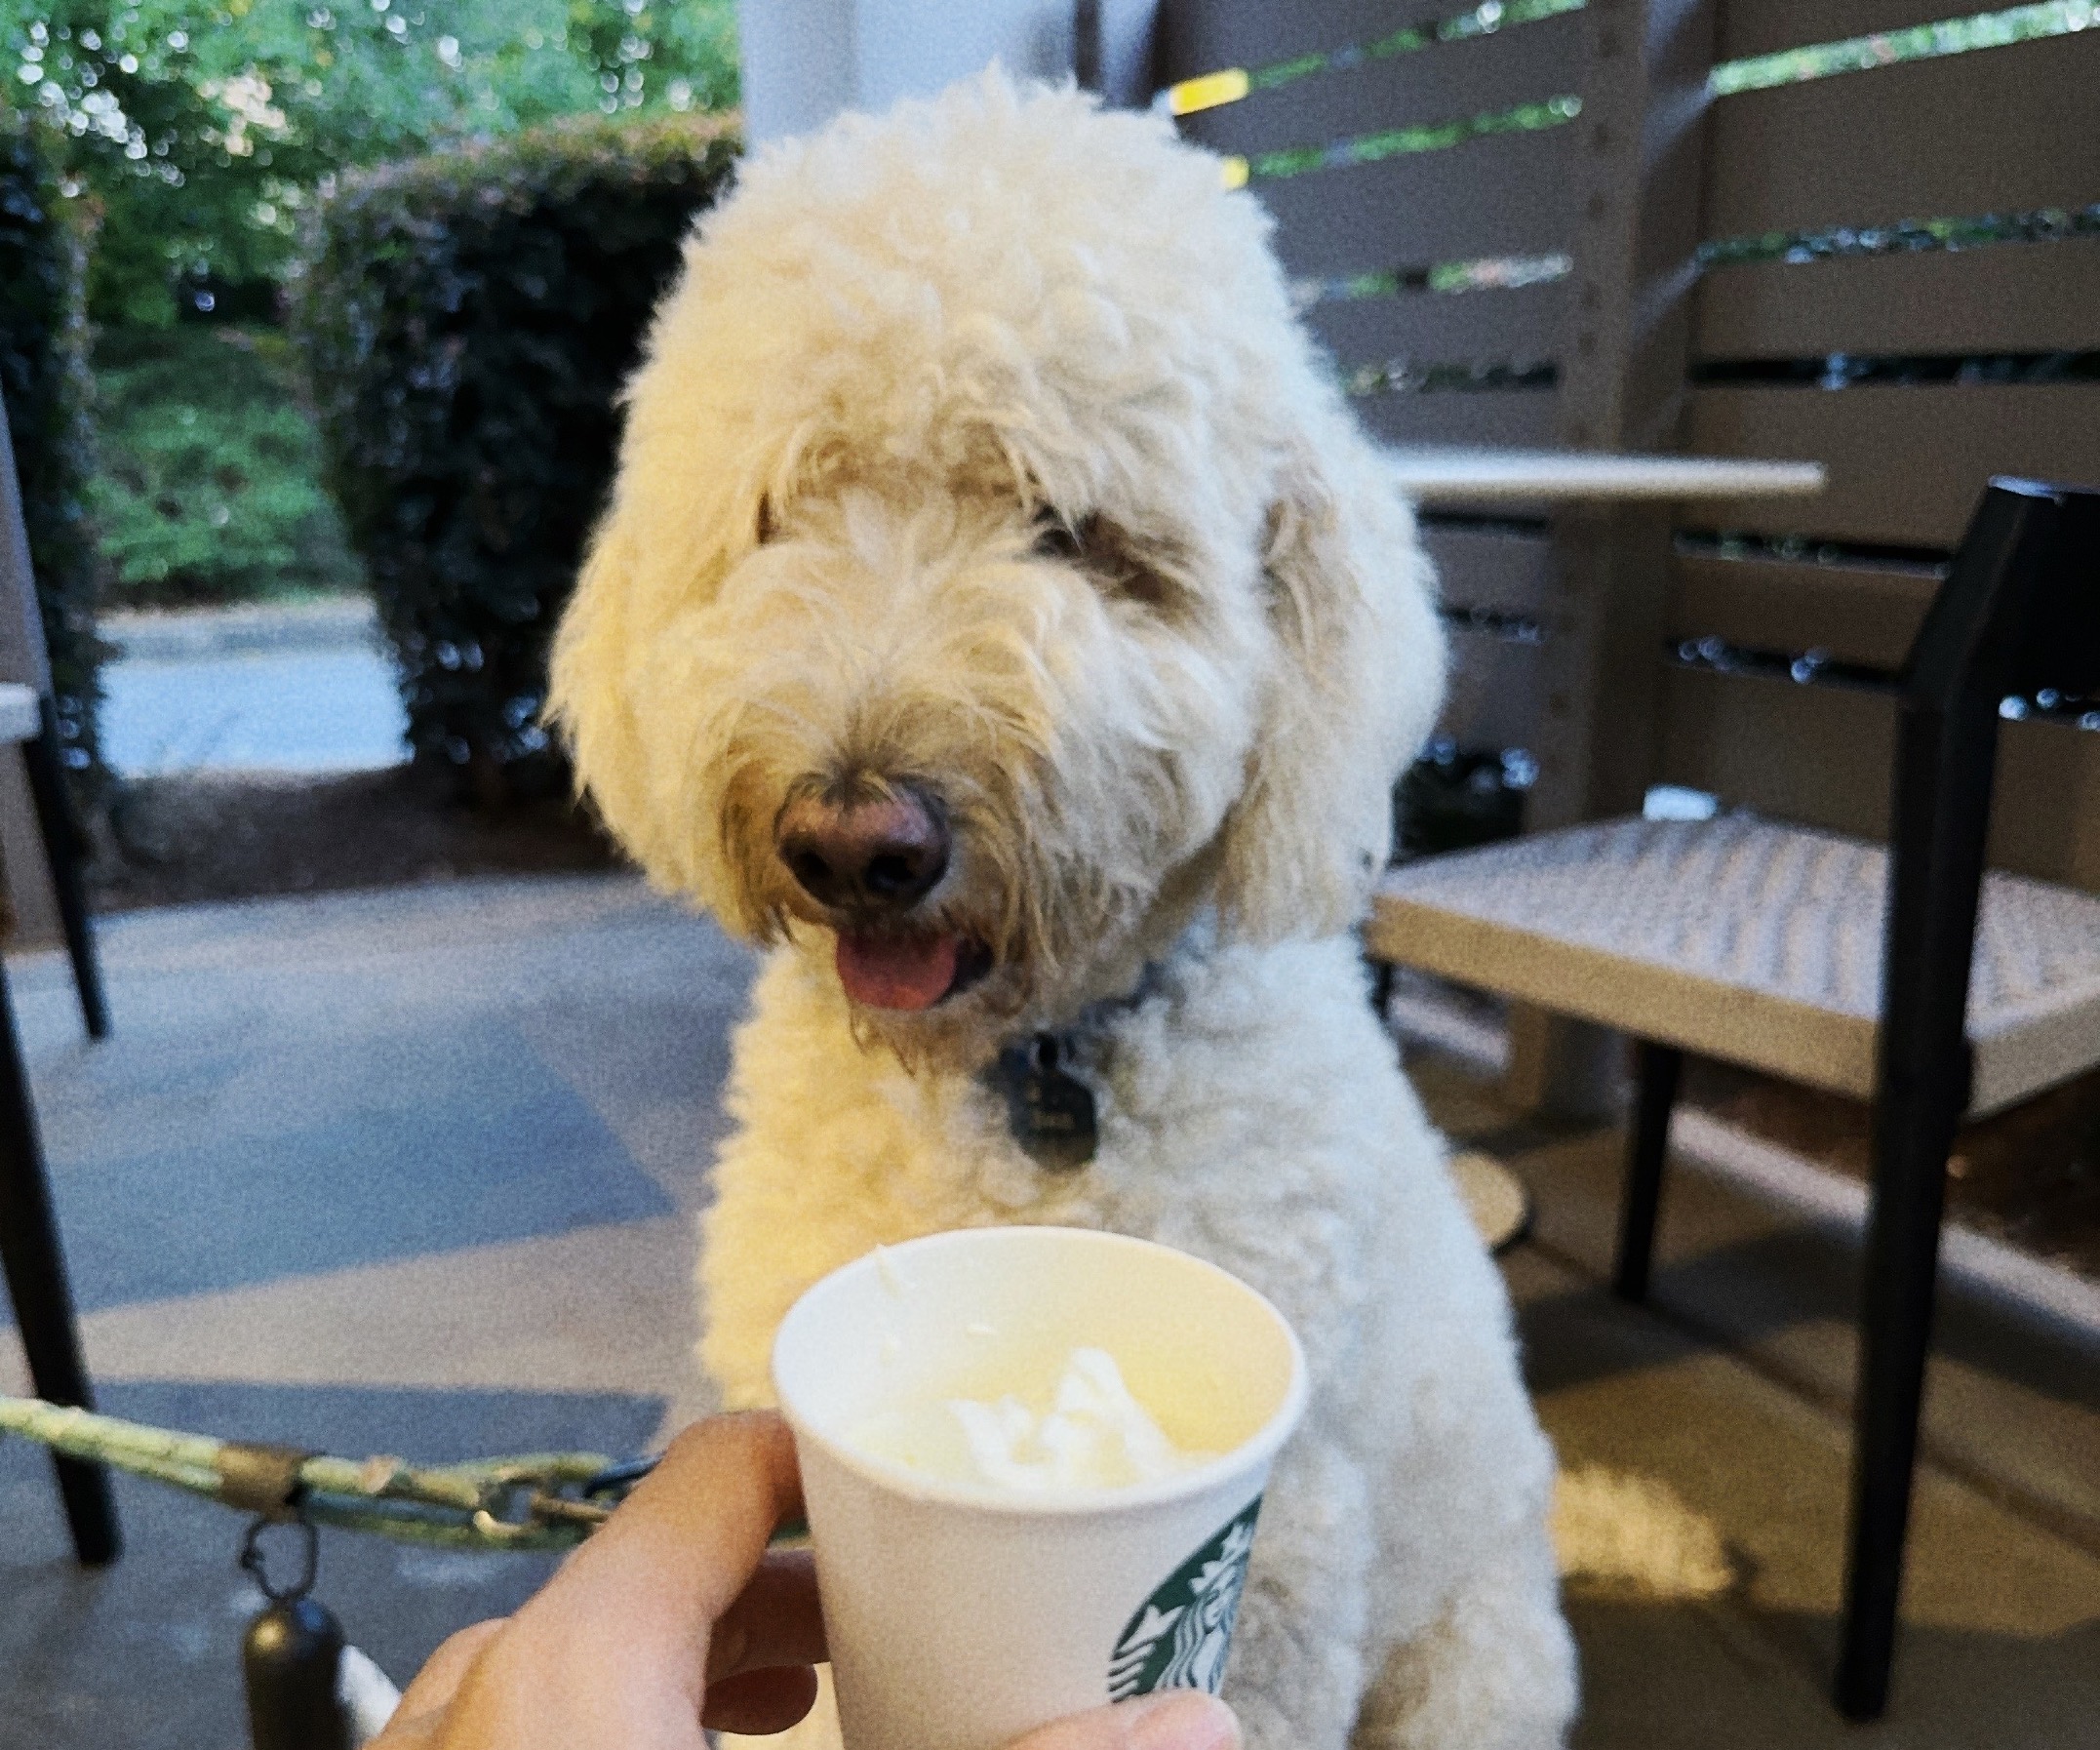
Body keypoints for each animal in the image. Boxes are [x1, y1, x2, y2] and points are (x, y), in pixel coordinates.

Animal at [554, 71, 1579, 1747]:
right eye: (785, 508)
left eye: (1070, 529)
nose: (854, 837)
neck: (1018, 1075)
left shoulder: (1290, 1558)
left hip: (1479, 1657)